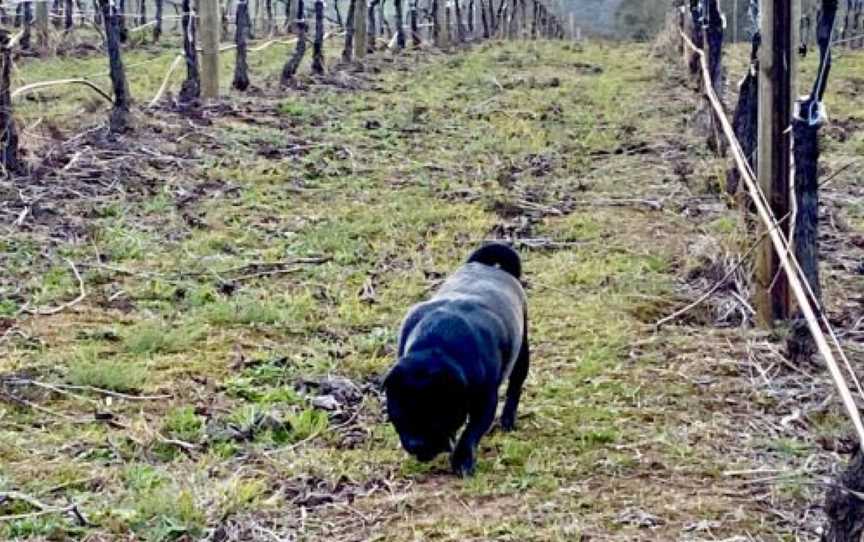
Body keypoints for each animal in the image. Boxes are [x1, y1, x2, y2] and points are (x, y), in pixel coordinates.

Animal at [384, 244, 528, 478]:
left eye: (435, 419)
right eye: (399, 417)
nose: (416, 444)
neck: (436, 348)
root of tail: (487, 267)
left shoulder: (485, 401)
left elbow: (471, 432)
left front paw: (462, 461)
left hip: (522, 351)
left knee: (515, 385)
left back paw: (508, 420)